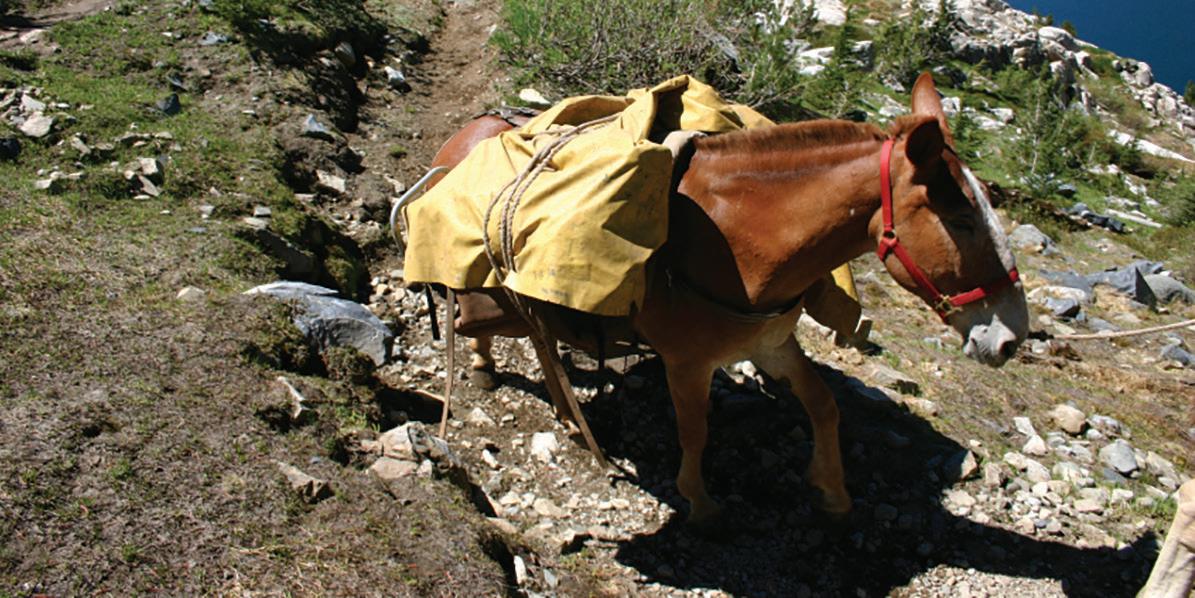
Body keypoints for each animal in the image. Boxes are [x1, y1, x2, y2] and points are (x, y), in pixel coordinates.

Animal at [412, 73, 1029, 530]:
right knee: (493, 325)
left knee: (541, 343)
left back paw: (566, 413)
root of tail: (472, 130)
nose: (1011, 339)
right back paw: (492, 369)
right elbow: (696, 429)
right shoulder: (688, 361)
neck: (740, 240)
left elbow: (823, 403)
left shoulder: (770, 342)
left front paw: (832, 491)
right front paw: (700, 500)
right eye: (961, 219)